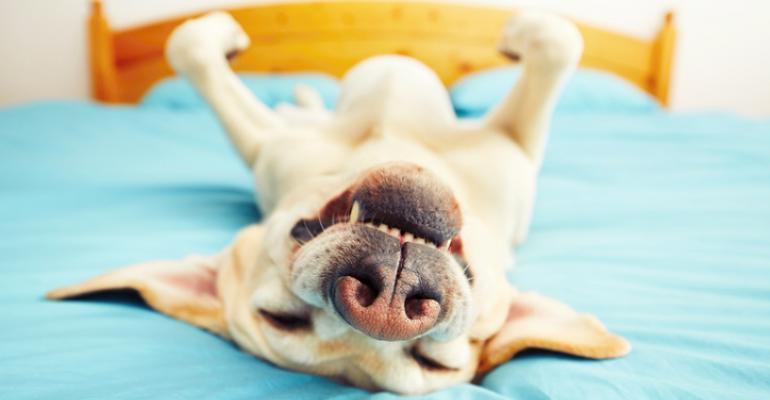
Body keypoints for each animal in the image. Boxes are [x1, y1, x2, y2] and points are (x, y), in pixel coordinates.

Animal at [48, 10, 628, 396]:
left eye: (434, 363)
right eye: (281, 320)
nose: (387, 305)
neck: (390, 143)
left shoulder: (515, 148)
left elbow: (560, 42)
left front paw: (519, 33)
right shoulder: (267, 145)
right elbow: (187, 46)